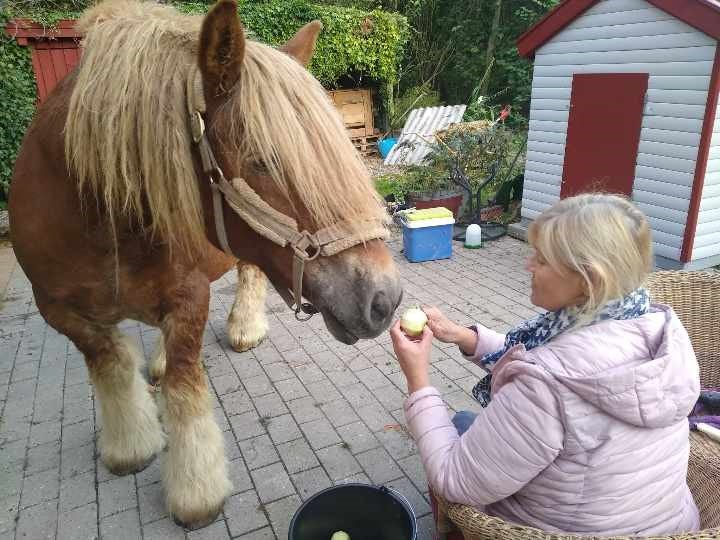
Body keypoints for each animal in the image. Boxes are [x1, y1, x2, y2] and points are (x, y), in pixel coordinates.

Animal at [8, 0, 402, 528]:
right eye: (262, 161)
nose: (386, 297)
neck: (96, 212)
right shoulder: (58, 310)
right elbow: (112, 367)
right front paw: (131, 446)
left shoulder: (189, 297)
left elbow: (183, 387)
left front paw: (195, 490)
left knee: (249, 272)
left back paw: (245, 328)